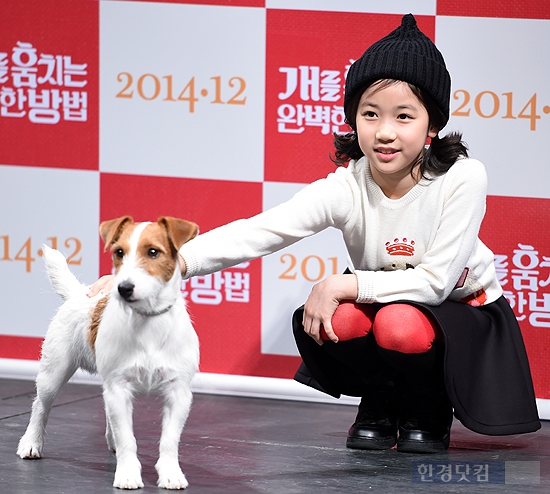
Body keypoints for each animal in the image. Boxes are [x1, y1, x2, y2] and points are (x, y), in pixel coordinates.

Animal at [17, 216, 203, 490]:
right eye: (119, 253)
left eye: (153, 252)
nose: (123, 288)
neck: (147, 320)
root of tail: (79, 294)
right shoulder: (119, 386)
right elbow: (128, 438)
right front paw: (127, 474)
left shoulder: (177, 391)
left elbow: (169, 439)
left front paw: (171, 474)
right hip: (54, 372)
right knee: (40, 406)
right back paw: (31, 442)